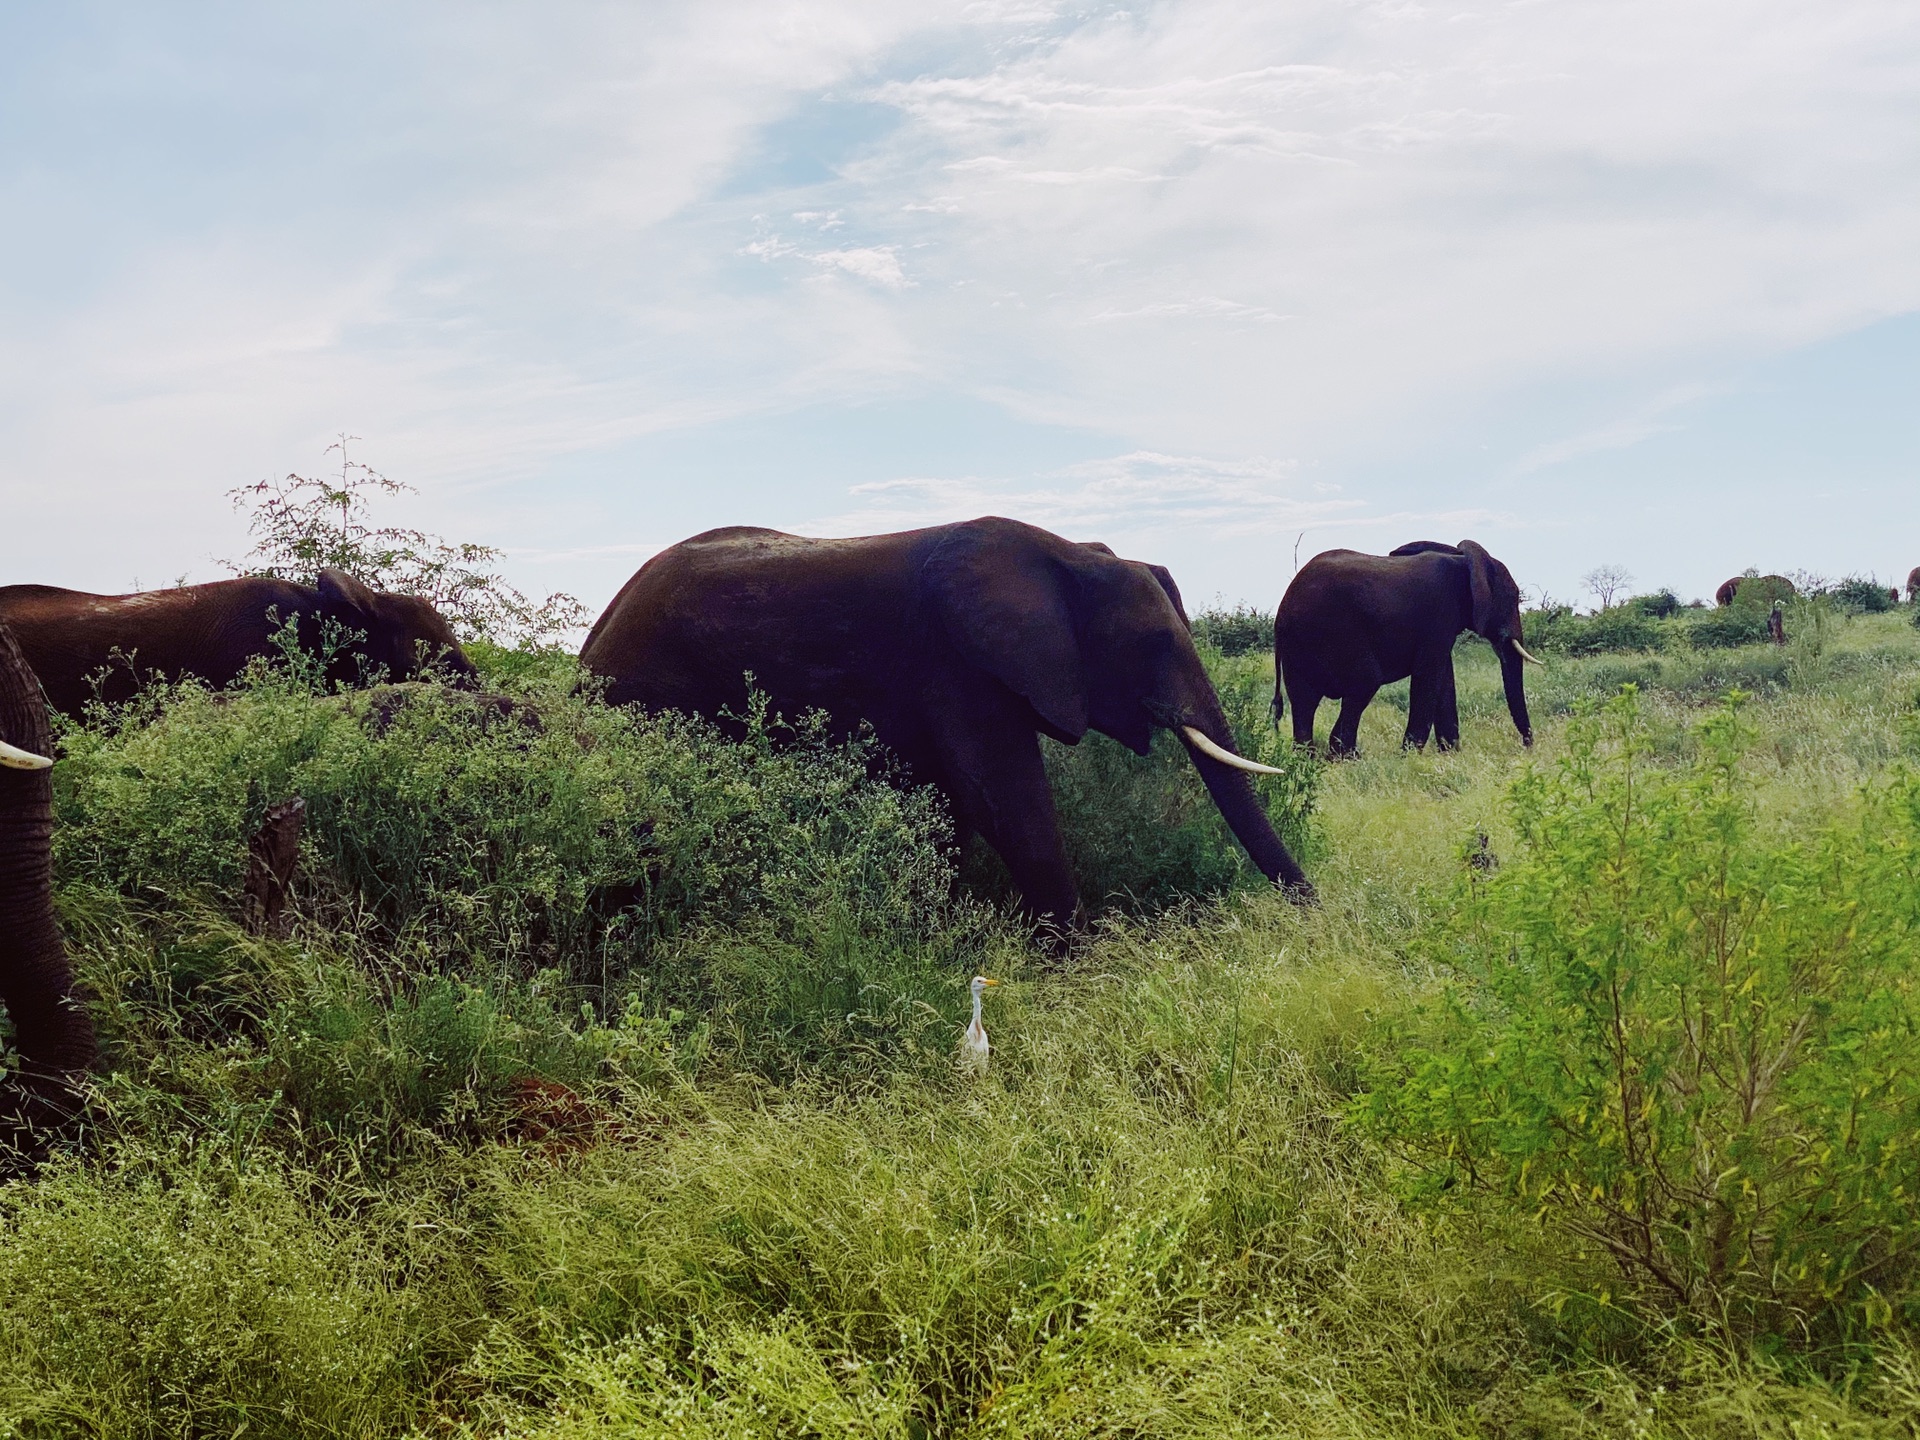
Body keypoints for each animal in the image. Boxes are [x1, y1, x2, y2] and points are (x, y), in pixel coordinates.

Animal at [1274, 541, 1543, 760]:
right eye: (1513, 597)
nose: (1527, 746)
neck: (1464, 561)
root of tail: (1283, 609)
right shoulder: (1438, 616)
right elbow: (1429, 676)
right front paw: (1410, 756)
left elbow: (1444, 678)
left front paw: (1450, 754)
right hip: (1337, 633)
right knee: (1362, 685)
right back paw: (1347, 758)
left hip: (1298, 646)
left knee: (1304, 701)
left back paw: (1310, 759)